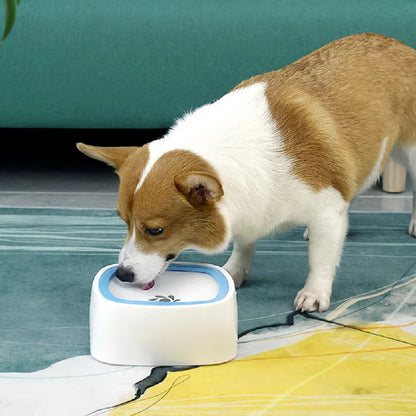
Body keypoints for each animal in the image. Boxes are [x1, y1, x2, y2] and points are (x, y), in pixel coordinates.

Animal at [78, 33, 416, 312]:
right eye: (124, 222)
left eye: (155, 231)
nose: (122, 274)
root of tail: (398, 44)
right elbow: (244, 244)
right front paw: (234, 271)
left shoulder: (325, 210)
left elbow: (320, 259)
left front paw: (314, 293)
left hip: (411, 151)